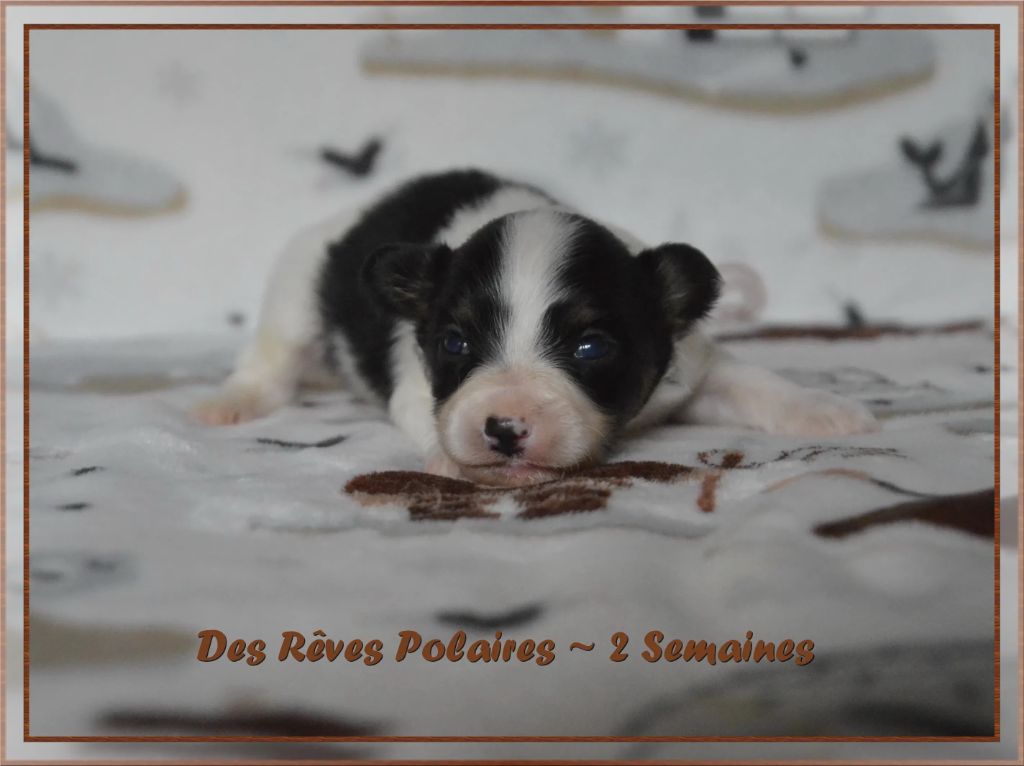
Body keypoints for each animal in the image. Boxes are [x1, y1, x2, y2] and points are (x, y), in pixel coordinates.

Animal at [192, 169, 878, 486]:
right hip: (297, 286)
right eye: (455, 343)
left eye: (591, 347)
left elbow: (756, 382)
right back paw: (231, 401)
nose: (503, 429)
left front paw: (827, 411)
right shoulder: (418, 383)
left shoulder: (692, 369)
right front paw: (453, 458)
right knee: (271, 356)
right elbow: (431, 414)